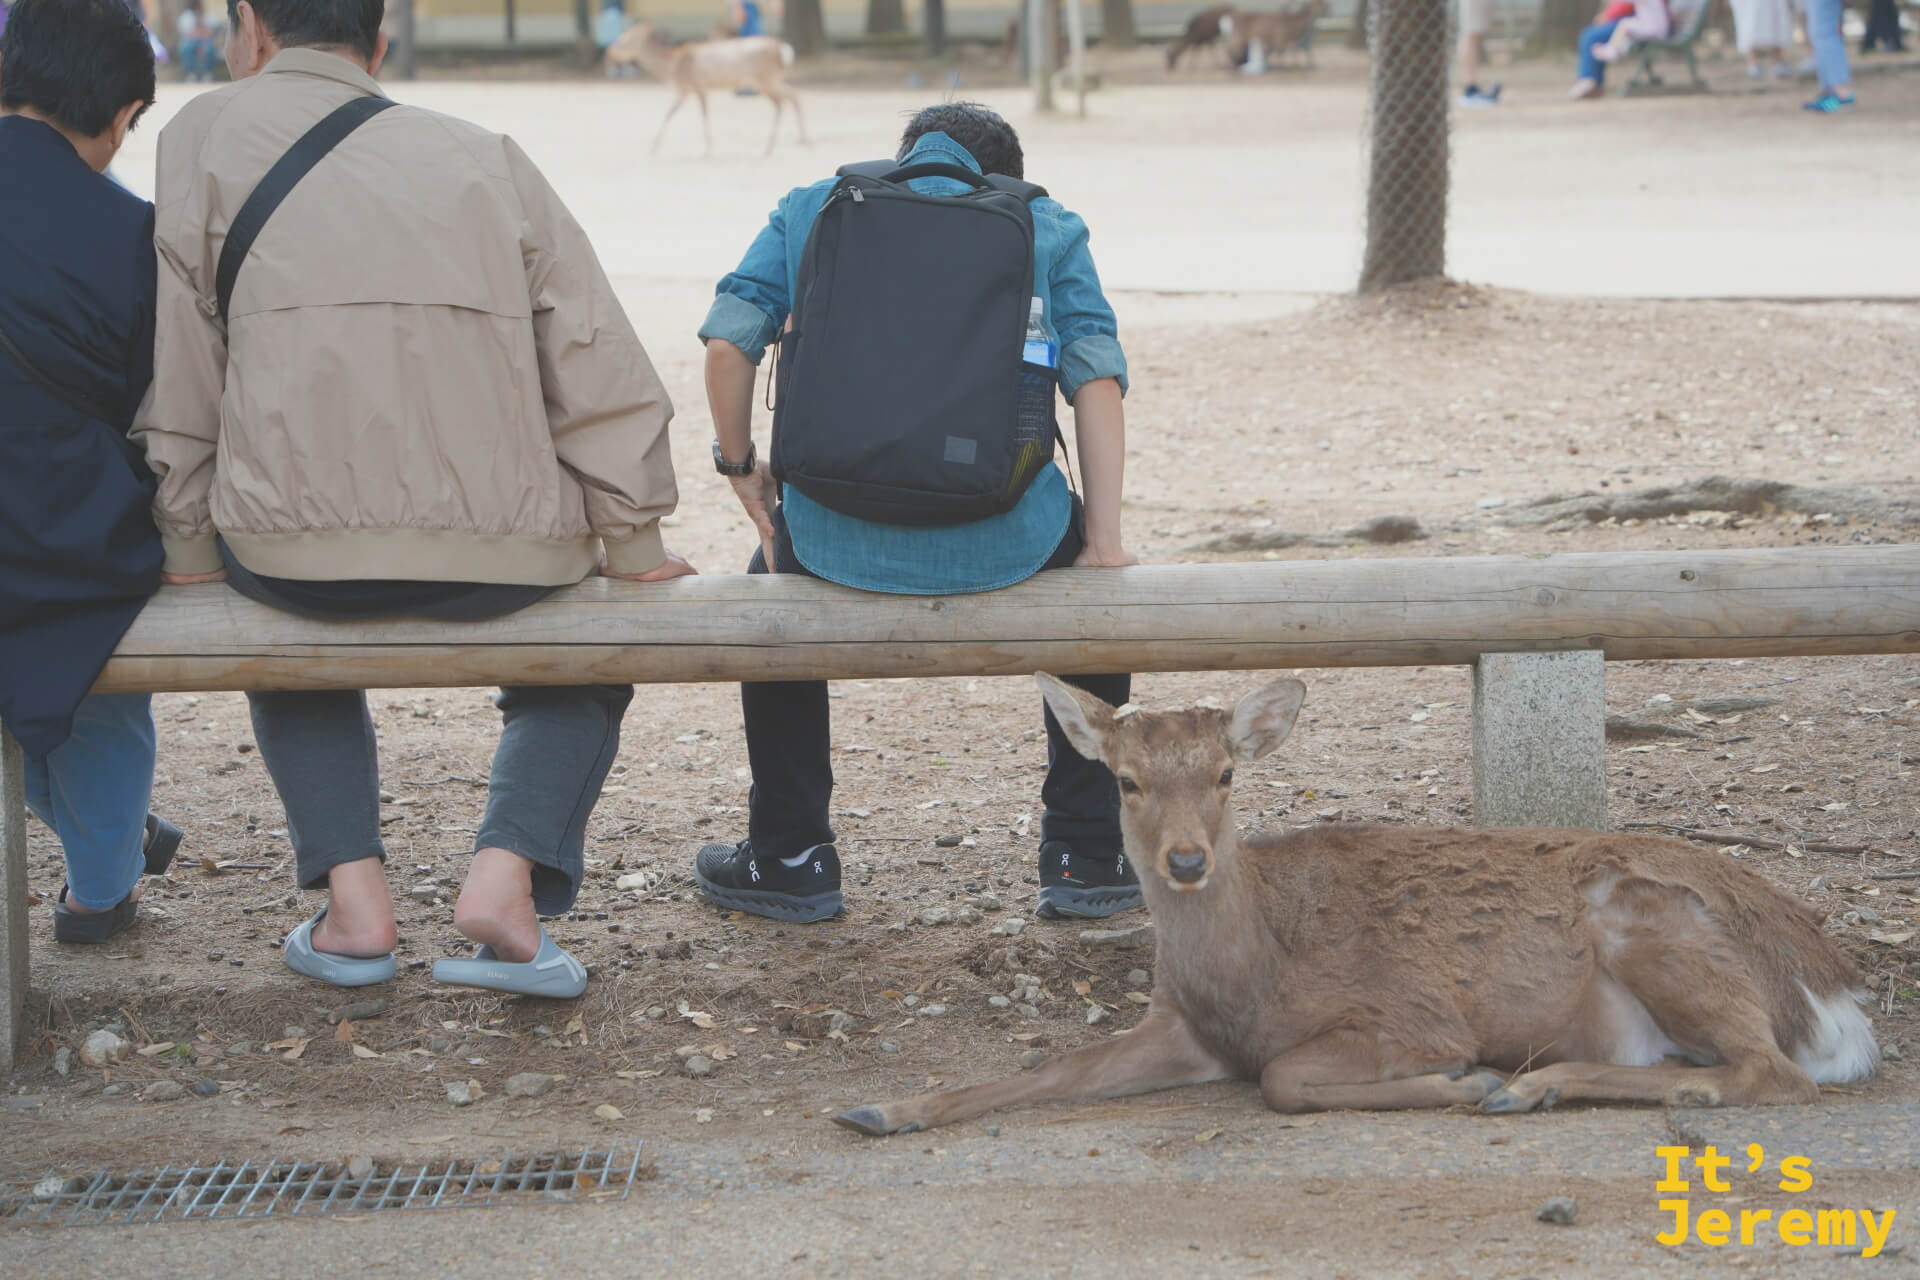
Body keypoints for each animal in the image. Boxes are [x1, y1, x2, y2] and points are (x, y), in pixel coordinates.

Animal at [607, 21, 809, 157]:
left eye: (624, 40)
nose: (610, 52)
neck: (673, 67)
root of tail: (784, 50)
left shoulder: (698, 85)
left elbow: (703, 114)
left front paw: (708, 149)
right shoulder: (684, 90)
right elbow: (669, 113)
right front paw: (654, 147)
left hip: (766, 78)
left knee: (784, 101)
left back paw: (772, 146)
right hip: (770, 80)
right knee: (792, 96)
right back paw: (799, 140)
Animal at [834, 675, 1879, 1136]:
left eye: (1225, 774)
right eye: (1127, 781)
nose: (1185, 860)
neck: (1248, 978)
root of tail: (1836, 992)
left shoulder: (1407, 1012)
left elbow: (1285, 1079)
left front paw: (1463, 1080)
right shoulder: (1182, 1030)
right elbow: (1046, 1069)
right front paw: (886, 1107)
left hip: (1656, 923)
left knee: (1771, 1073)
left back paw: (1529, 1085)